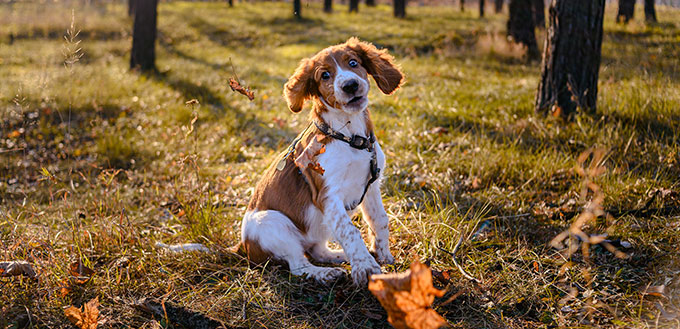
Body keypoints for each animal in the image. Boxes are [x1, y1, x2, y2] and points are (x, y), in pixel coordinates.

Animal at [235, 37, 404, 284]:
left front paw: (383, 256)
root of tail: (242, 246)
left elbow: (380, 219)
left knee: (317, 251)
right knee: (298, 265)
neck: (350, 136)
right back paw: (324, 273)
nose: (350, 85)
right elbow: (350, 230)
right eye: (324, 75)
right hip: (272, 222)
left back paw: (339, 257)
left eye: (353, 62)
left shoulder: (371, 186)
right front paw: (366, 268)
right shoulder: (328, 195)